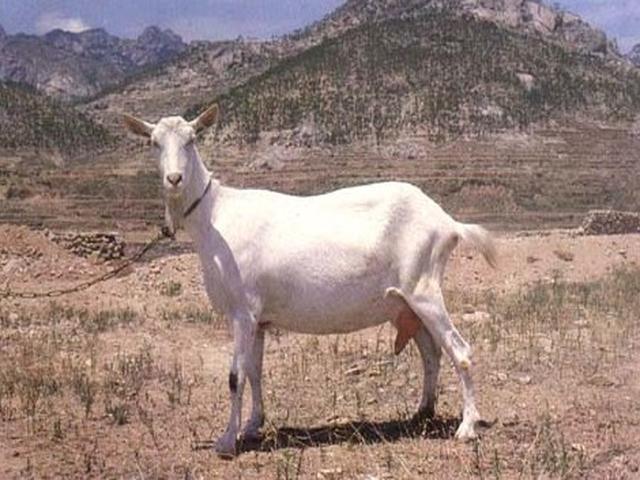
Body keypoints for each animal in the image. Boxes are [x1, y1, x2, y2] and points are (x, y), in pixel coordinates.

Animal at [123, 105, 497, 457]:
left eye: (192, 139)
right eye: (154, 142)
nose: (174, 178)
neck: (215, 216)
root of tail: (446, 222)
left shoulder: (242, 311)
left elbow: (235, 376)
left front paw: (227, 441)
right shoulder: (259, 318)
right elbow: (255, 371)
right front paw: (252, 426)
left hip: (424, 289)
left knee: (460, 351)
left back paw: (467, 427)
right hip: (404, 303)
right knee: (431, 351)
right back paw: (422, 412)